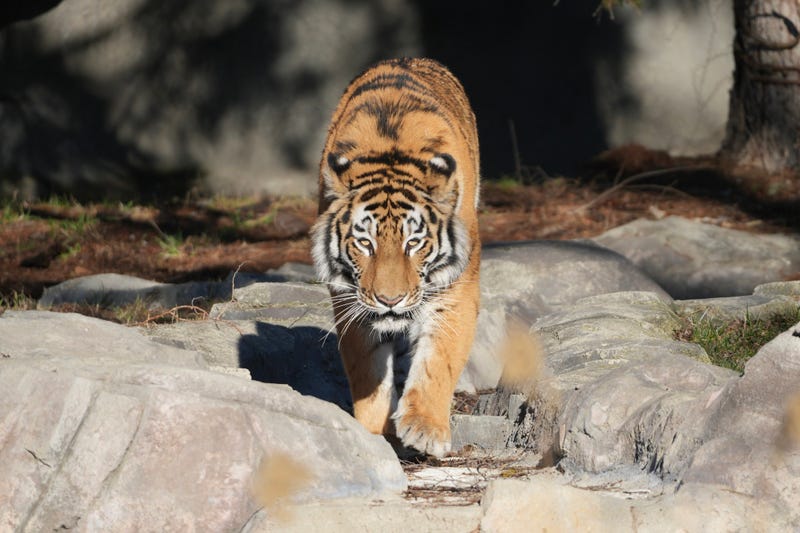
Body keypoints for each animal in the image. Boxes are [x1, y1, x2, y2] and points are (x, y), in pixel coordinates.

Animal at [310, 58, 481, 458]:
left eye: (414, 242)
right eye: (365, 242)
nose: (390, 300)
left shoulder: (455, 289)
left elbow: (439, 358)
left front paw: (425, 428)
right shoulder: (350, 298)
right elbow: (367, 369)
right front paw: (372, 433)